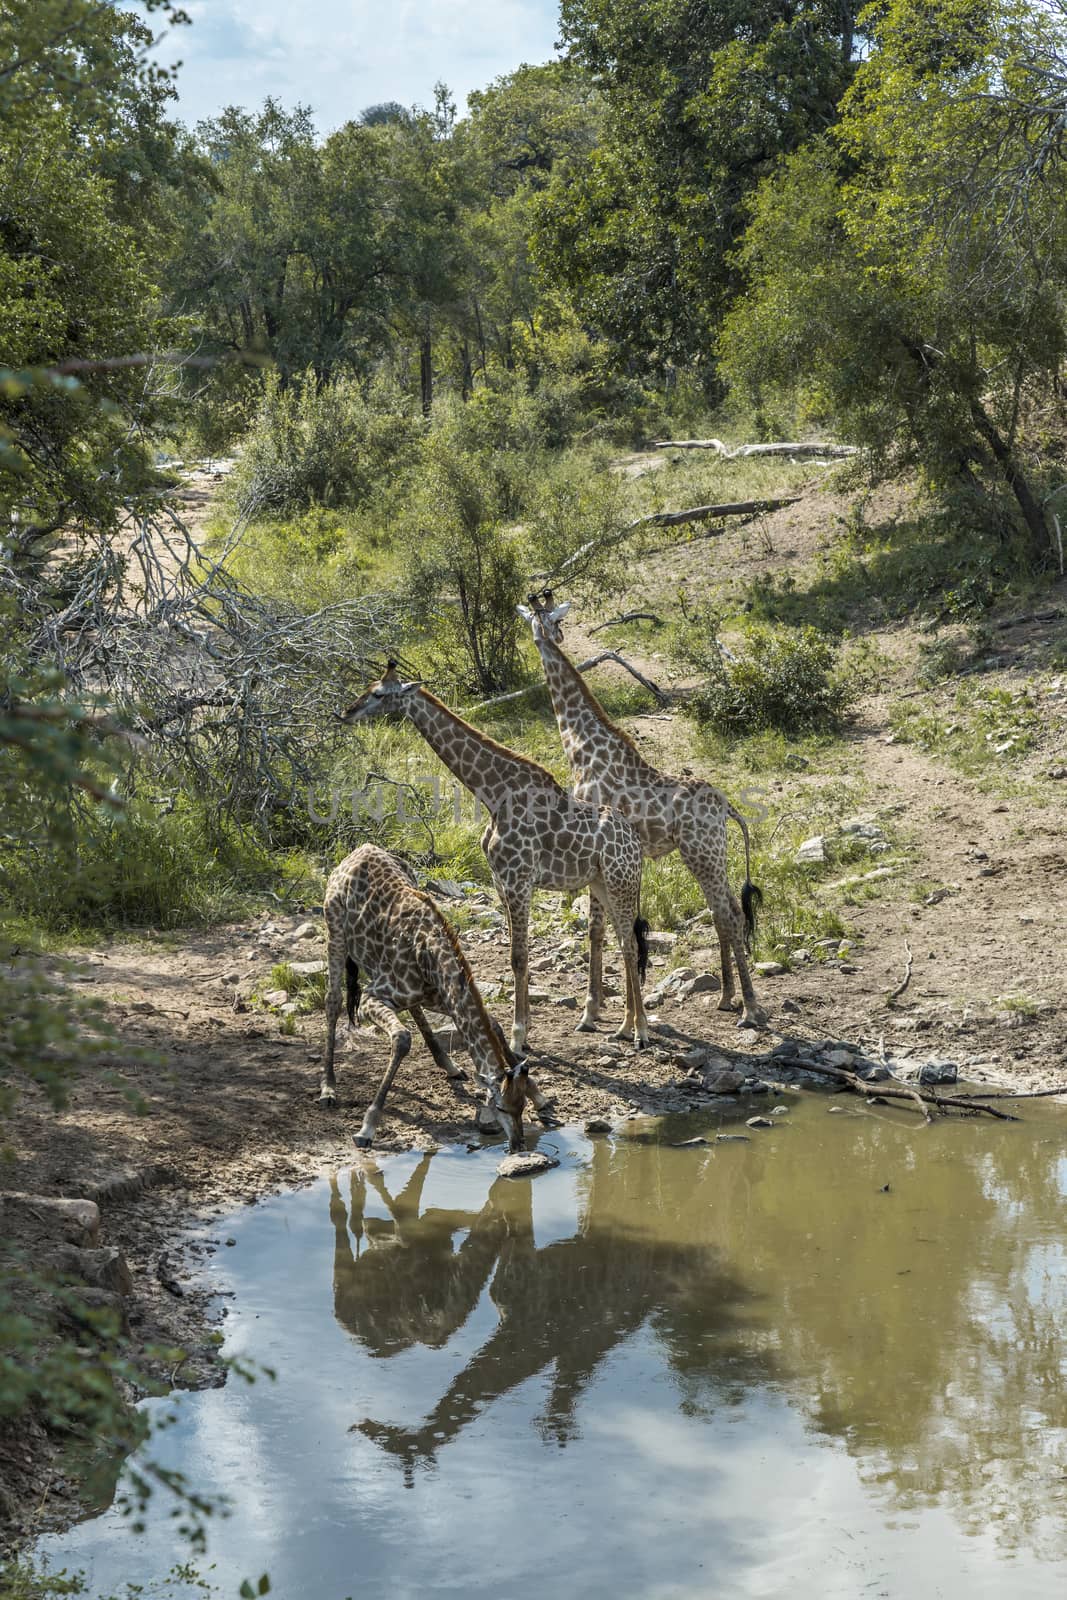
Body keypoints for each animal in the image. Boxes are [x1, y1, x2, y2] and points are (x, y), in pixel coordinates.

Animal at [323, 838, 550, 1152]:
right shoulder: (372, 996)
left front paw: (540, 1097)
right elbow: (402, 1038)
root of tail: (359, 850)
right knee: (333, 1001)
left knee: (412, 1009)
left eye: (521, 1107)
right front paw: (367, 1128)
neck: (430, 959)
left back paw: (450, 1065)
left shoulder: (443, 998)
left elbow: (494, 1024)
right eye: (501, 1107)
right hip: (335, 931)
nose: (517, 1145)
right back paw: (328, 1088)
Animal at [342, 659, 652, 1049]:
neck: (493, 794)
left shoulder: (518, 880)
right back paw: (624, 1026)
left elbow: (520, 957)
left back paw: (640, 1031)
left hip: (620, 881)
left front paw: (519, 1037)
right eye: (368, 688)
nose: (346, 712)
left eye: (380, 694)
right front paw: (522, 1031)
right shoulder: (500, 881)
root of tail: (635, 842)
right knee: (623, 940)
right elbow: (514, 957)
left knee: (630, 943)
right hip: (601, 883)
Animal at [518, 588, 767, 1024]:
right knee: (722, 914)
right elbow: (603, 930)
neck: (580, 746)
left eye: (554, 619)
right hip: (710, 855)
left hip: (702, 853)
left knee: (731, 915)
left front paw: (591, 1010)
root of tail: (727, 808)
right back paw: (726, 997)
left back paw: (750, 1008)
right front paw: (604, 1008)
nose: (551, 637)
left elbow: (595, 929)